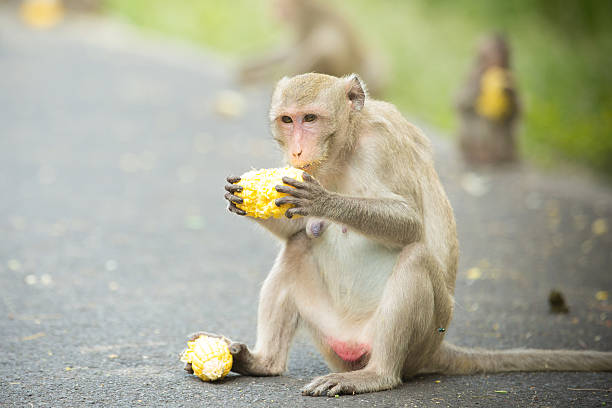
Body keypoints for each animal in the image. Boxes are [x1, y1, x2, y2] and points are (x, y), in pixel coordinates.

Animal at [188, 72, 612, 396]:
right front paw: (241, 198)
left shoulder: (382, 146)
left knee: (416, 258)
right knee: (298, 246)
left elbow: (410, 222)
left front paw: (322, 200)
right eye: (287, 121)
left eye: (310, 118)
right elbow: (295, 226)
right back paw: (264, 363)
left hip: (416, 339)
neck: (344, 147)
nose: (296, 151)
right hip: (333, 335)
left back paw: (377, 376)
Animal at [237, 0, 384, 97]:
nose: (272, 13)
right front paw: (249, 67)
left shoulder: (303, 19)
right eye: (274, 5)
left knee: (327, 41)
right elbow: (288, 49)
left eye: (279, 6)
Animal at [454, 33, 520, 164]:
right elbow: (460, 102)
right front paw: (479, 84)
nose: (497, 63)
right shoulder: (471, 75)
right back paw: (476, 153)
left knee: (504, 129)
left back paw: (499, 156)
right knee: (472, 119)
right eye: (491, 55)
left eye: (502, 56)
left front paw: (508, 90)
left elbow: (516, 113)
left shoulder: (515, 78)